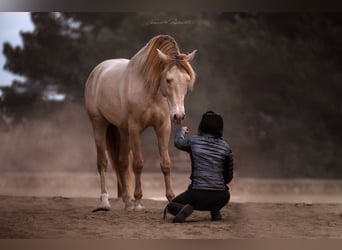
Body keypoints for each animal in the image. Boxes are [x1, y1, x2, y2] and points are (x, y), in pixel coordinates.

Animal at [84, 34, 198, 211]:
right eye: (168, 79)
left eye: (187, 80)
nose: (178, 116)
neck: (150, 90)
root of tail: (97, 71)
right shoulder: (135, 129)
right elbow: (138, 163)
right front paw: (138, 201)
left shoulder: (163, 127)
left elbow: (166, 164)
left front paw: (171, 198)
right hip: (99, 124)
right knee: (102, 162)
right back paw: (105, 201)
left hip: (123, 130)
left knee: (122, 162)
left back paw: (127, 201)